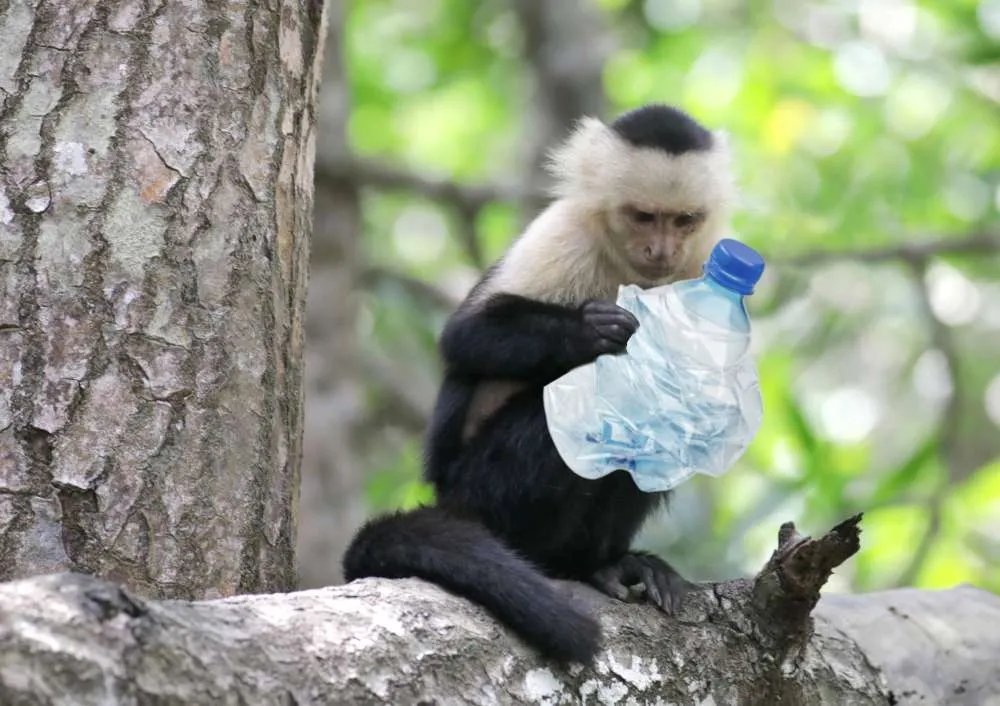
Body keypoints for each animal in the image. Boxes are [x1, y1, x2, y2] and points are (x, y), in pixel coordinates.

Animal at [342, 103, 738, 665]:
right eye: (643, 216)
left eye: (684, 220)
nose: (661, 250)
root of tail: (449, 500)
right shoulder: (564, 233)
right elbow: (466, 335)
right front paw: (592, 332)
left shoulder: (701, 259)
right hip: (480, 493)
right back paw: (565, 563)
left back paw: (609, 563)